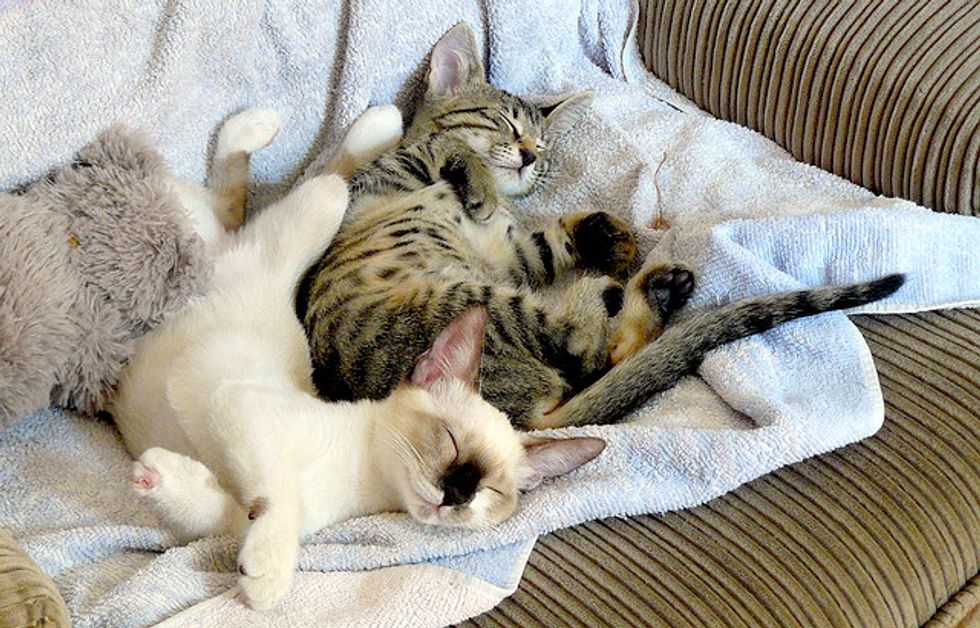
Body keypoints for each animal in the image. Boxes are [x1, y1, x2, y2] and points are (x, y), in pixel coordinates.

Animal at [111, 106, 604, 610]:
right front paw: (269, 578)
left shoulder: (236, 508)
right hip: (318, 212)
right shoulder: (239, 404)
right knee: (321, 184)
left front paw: (159, 478)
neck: (360, 483)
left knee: (232, 206)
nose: (457, 494)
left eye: (491, 490)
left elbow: (224, 509)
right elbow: (280, 495)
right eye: (450, 441)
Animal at [298, 22, 906, 430]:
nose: (527, 156)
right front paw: (480, 186)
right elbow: (450, 149)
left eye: (543, 147)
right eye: (503, 122)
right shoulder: (380, 183)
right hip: (468, 303)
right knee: (581, 346)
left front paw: (612, 234)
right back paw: (614, 292)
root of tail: (515, 419)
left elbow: (544, 239)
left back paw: (652, 288)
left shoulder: (511, 253)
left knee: (598, 356)